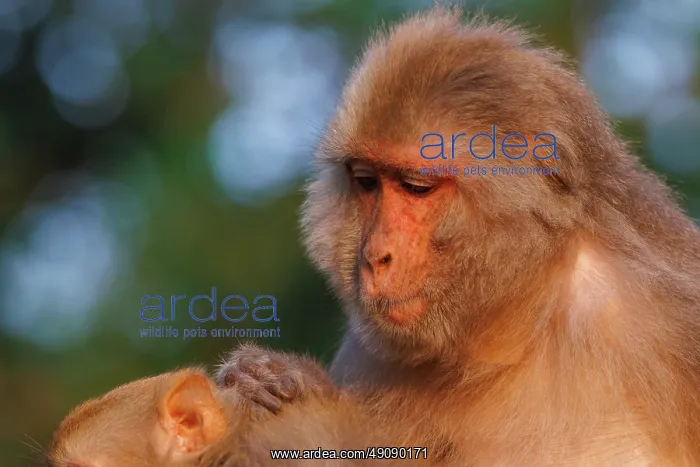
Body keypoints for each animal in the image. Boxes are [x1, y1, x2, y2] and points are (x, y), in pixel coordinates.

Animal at [218, 5, 700, 466]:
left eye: (415, 187)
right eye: (367, 182)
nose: (375, 256)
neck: (518, 330)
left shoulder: (661, 315)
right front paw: (263, 380)